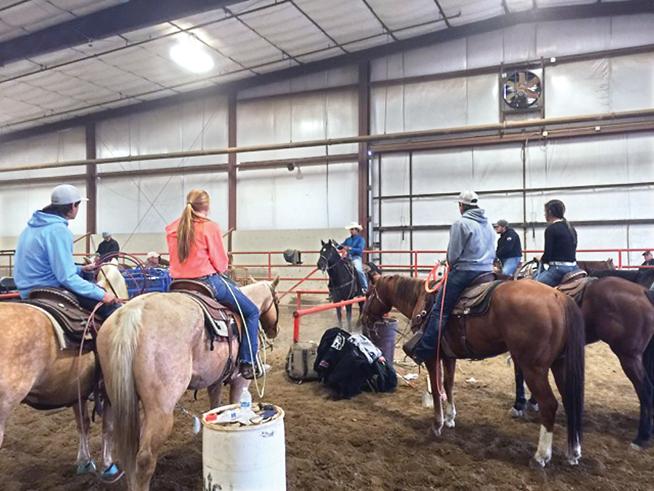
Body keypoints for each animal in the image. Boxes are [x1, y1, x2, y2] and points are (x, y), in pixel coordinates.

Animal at [0, 266, 128, 480]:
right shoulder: (107, 389)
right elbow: (108, 427)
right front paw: (109, 465)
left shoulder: (76, 389)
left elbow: (83, 424)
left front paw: (85, 462)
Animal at [96, 278, 280, 490]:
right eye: (277, 300)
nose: (275, 330)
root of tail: (133, 313)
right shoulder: (240, 380)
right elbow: (235, 403)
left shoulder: (215, 380)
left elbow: (215, 405)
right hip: (161, 410)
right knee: (144, 459)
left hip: (118, 400)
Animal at [366, 274, 588, 468]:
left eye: (368, 293)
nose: (366, 321)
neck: (420, 298)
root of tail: (559, 297)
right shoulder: (449, 356)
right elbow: (448, 384)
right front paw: (450, 418)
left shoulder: (431, 356)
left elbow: (437, 389)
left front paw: (437, 425)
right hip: (560, 364)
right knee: (570, 400)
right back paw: (574, 452)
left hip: (533, 369)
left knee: (549, 405)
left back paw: (541, 456)